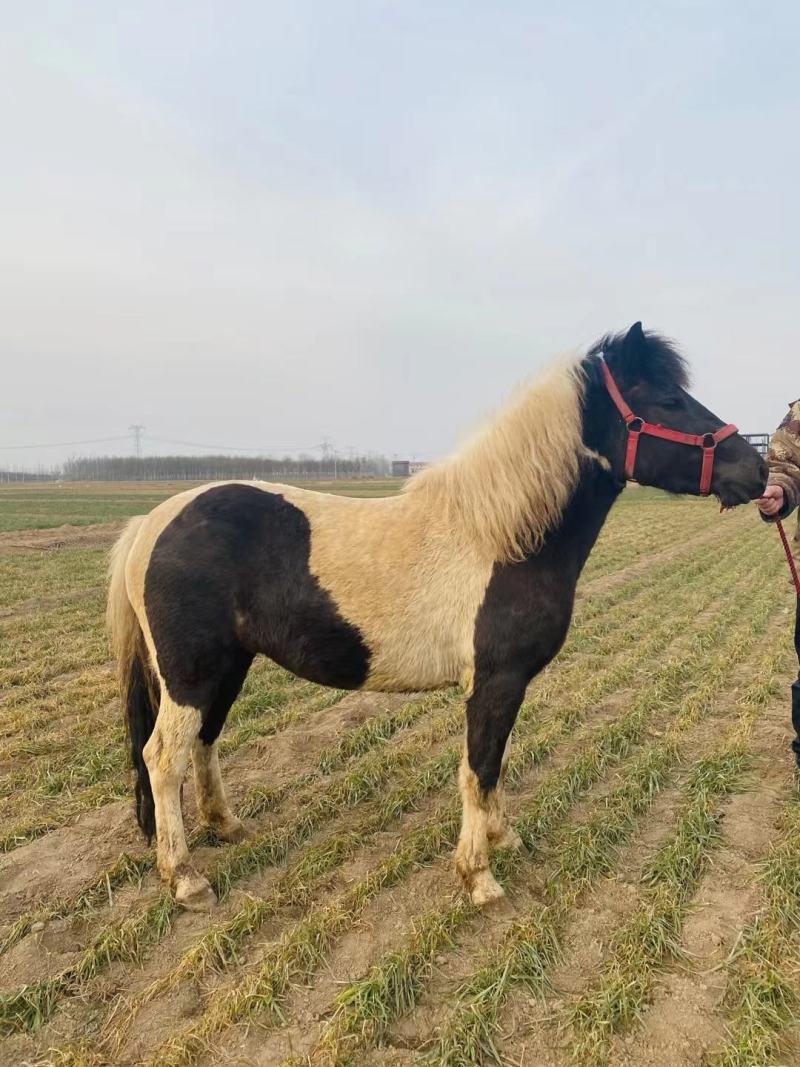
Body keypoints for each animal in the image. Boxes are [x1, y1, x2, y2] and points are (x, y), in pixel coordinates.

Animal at [107, 323, 767, 910]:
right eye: (669, 399)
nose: (756, 470)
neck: (501, 538)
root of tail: (151, 522)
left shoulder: (505, 685)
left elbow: (494, 766)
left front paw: (504, 838)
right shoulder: (495, 681)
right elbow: (478, 768)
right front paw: (479, 877)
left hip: (227, 666)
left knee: (204, 741)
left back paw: (226, 827)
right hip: (191, 673)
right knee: (163, 757)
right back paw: (185, 878)